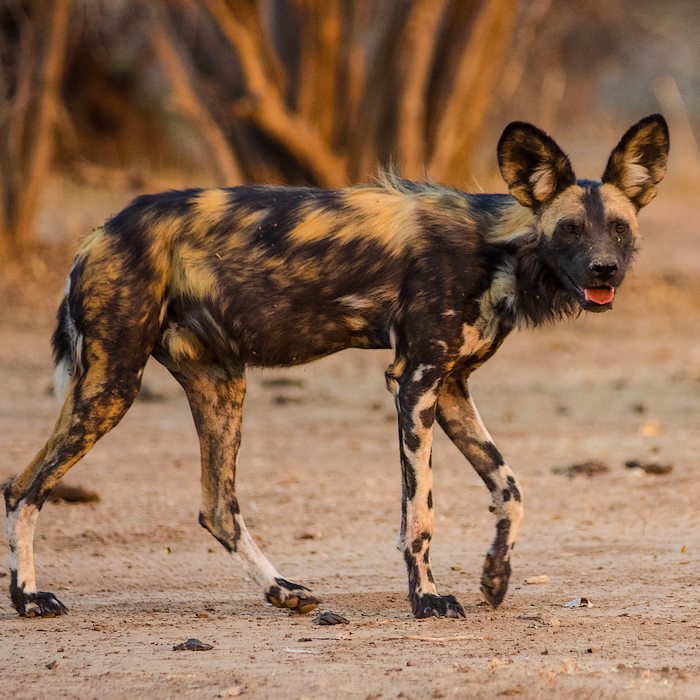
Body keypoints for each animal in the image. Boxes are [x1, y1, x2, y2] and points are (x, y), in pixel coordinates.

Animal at [6, 115, 672, 616]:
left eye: (618, 228)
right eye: (570, 229)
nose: (605, 270)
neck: (498, 249)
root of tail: (100, 231)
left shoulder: (451, 388)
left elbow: (510, 488)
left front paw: (495, 577)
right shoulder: (415, 383)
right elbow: (420, 515)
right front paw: (428, 601)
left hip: (221, 385)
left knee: (218, 508)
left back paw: (282, 591)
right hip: (111, 385)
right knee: (23, 486)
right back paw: (29, 596)